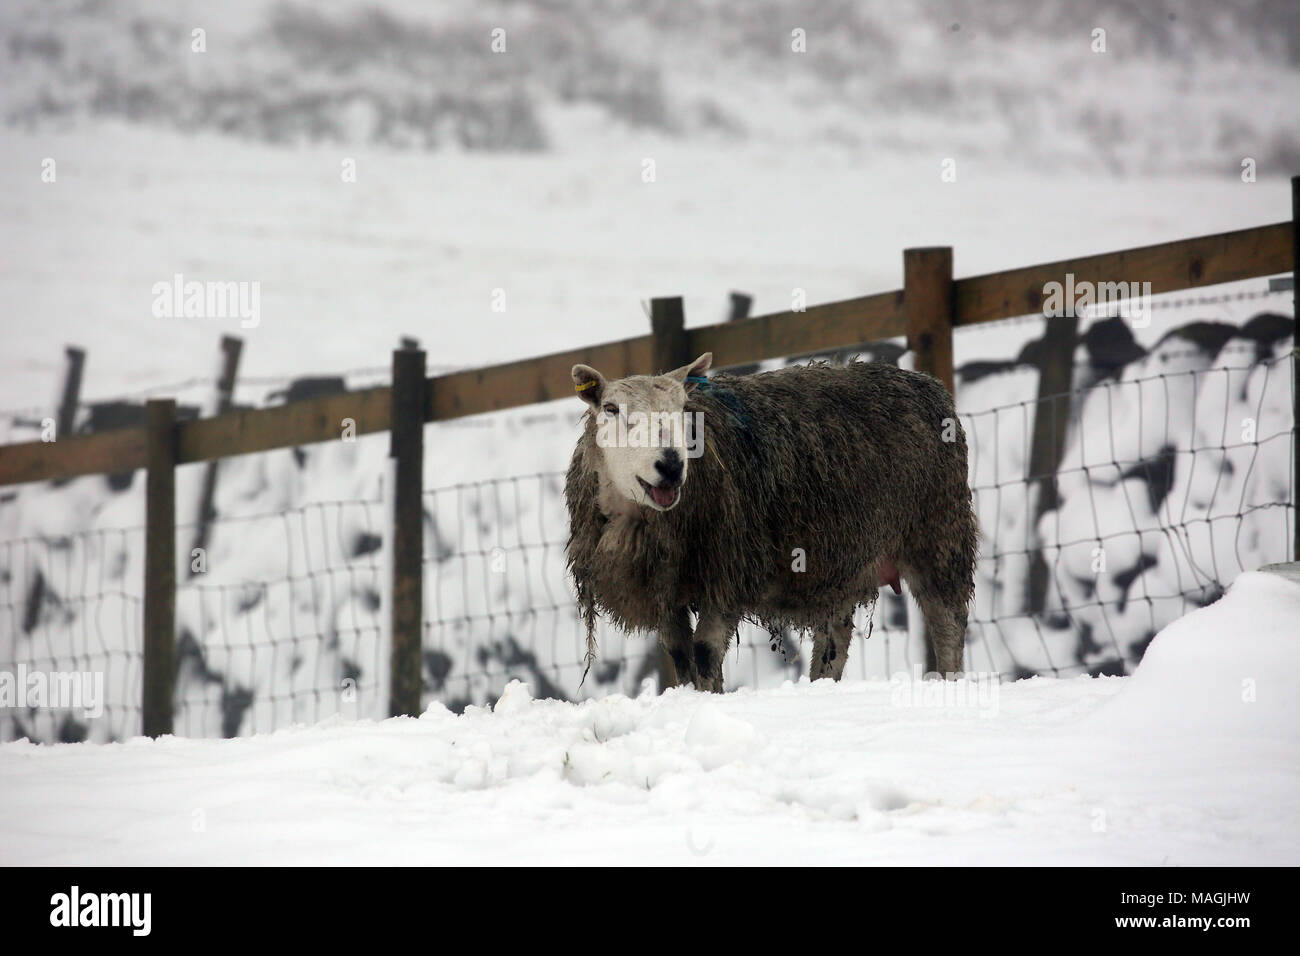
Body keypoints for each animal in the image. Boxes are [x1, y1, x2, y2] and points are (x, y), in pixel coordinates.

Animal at [564, 352, 977, 692]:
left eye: (684, 408)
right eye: (611, 409)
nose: (670, 465)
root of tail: (926, 382)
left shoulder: (730, 572)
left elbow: (704, 652)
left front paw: (710, 697)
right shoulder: (663, 589)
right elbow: (680, 655)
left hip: (938, 529)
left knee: (948, 620)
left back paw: (949, 681)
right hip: (841, 559)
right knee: (835, 639)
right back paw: (820, 686)